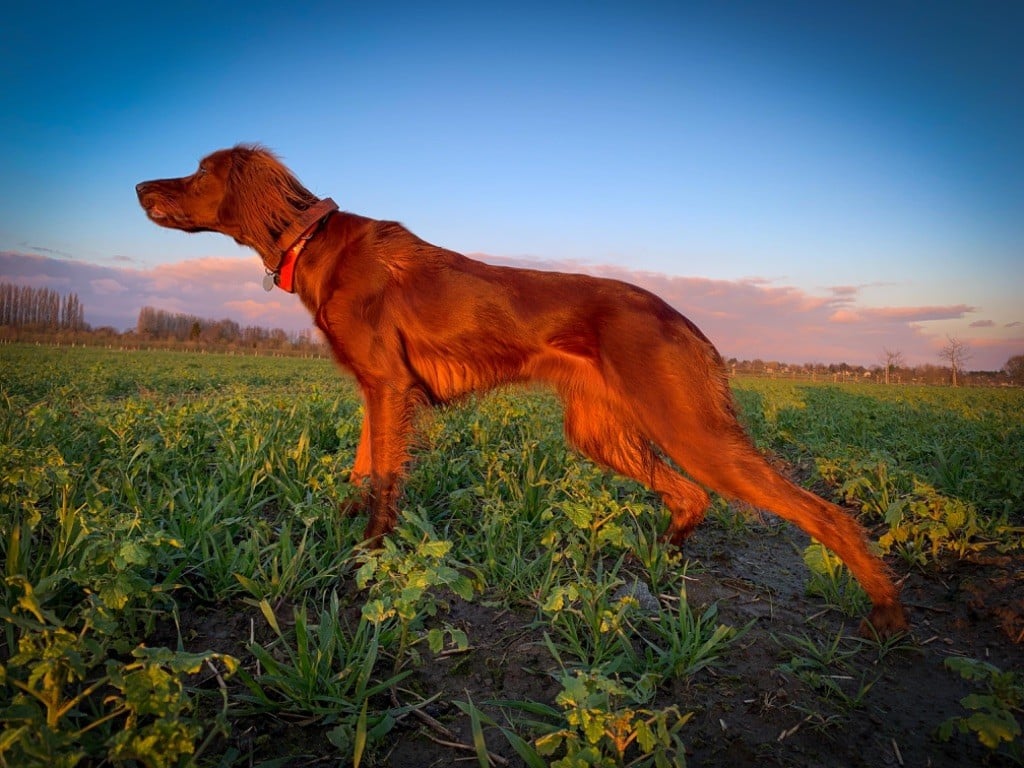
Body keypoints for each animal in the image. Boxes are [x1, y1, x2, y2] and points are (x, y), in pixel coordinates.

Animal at [134, 145, 905, 638]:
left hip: (692, 430)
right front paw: (341, 530)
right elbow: (361, 469)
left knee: (826, 515)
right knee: (691, 496)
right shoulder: (375, 390)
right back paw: (657, 557)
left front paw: (370, 558)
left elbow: (383, 479)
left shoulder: (388, 385)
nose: (139, 188)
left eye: (199, 171)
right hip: (600, 432)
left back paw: (886, 614)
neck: (313, 240)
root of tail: (682, 319)